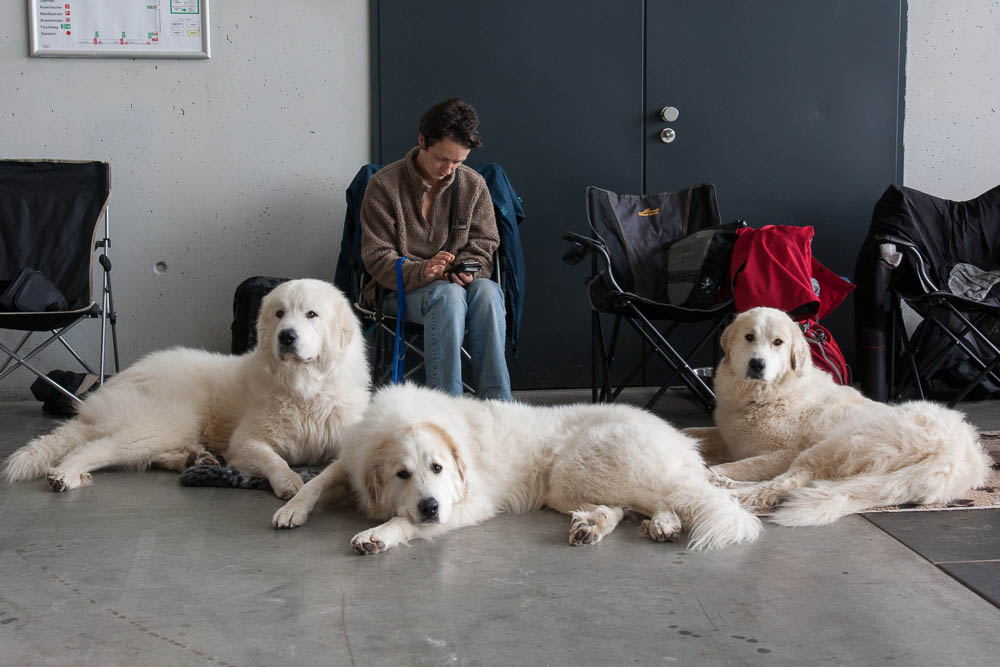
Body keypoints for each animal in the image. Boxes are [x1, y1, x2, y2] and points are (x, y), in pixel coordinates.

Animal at [3, 280, 372, 498]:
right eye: (280, 314)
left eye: (311, 314)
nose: (286, 336)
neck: (305, 388)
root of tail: (123, 376)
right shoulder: (245, 442)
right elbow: (273, 460)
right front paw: (289, 482)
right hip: (159, 424)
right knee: (93, 448)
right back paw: (65, 474)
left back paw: (196, 458)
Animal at [272, 384, 756, 556]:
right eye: (402, 474)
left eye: (437, 467)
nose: (429, 507)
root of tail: (679, 437)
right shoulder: (352, 459)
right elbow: (320, 480)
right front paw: (292, 506)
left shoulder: (469, 503)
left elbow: (402, 523)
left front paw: (378, 535)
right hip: (568, 487)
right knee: (627, 508)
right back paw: (601, 527)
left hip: (579, 469)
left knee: (662, 498)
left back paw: (659, 524)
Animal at [688, 308, 992, 528]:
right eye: (749, 337)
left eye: (778, 343)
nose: (757, 364)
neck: (768, 394)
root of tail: (952, 456)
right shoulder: (728, 436)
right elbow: (696, 432)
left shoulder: (783, 452)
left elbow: (739, 464)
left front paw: (710, 471)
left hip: (832, 445)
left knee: (785, 483)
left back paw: (726, 490)